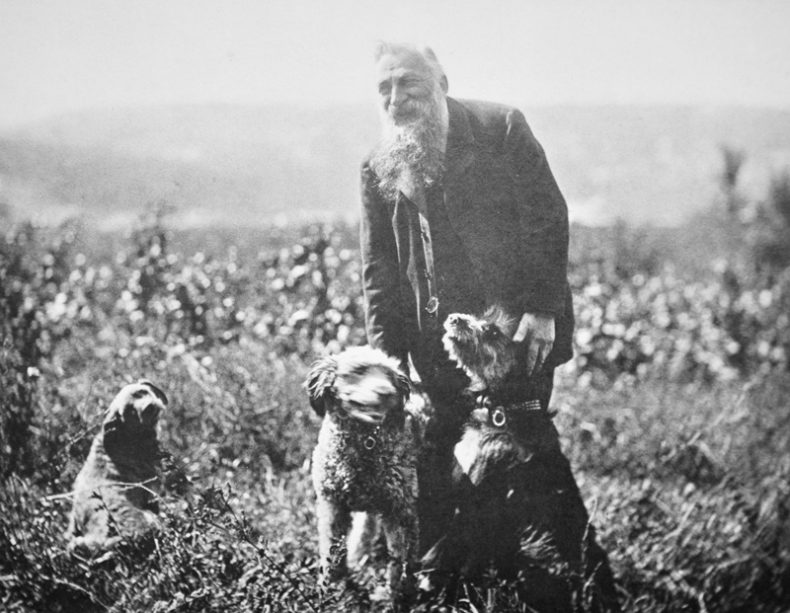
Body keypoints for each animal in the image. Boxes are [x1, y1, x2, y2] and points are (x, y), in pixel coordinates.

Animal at [306, 344, 424, 604]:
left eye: (390, 376)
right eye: (358, 371)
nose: (387, 392)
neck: (365, 439)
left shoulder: (399, 511)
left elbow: (398, 562)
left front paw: (394, 596)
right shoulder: (332, 506)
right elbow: (330, 553)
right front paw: (332, 588)